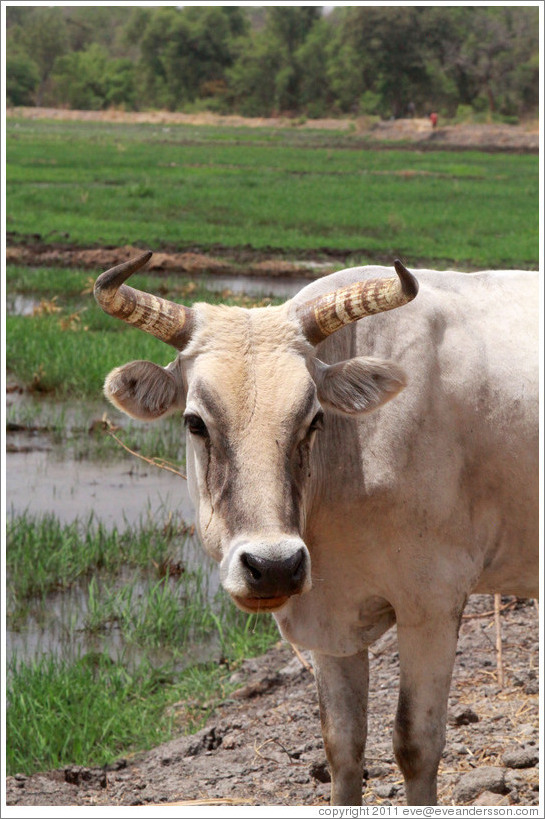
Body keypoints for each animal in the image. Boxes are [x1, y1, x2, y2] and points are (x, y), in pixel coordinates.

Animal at [93, 251, 536, 808]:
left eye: (314, 419)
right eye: (195, 422)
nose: (273, 567)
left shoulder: (433, 604)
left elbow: (416, 744)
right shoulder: (330, 624)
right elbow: (342, 745)